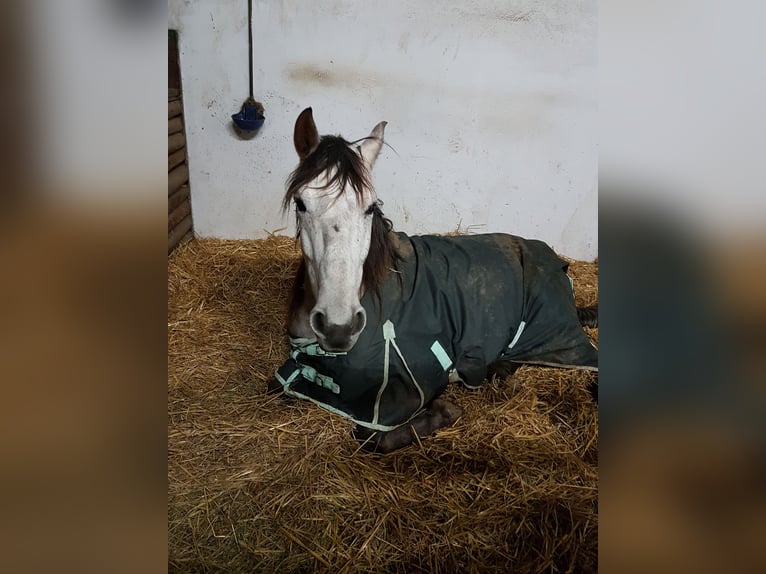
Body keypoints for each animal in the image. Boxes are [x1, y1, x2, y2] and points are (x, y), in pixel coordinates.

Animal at [270, 108, 600, 454]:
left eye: (370, 207)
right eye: (301, 203)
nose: (339, 327)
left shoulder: (407, 387)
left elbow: (372, 435)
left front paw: (443, 411)